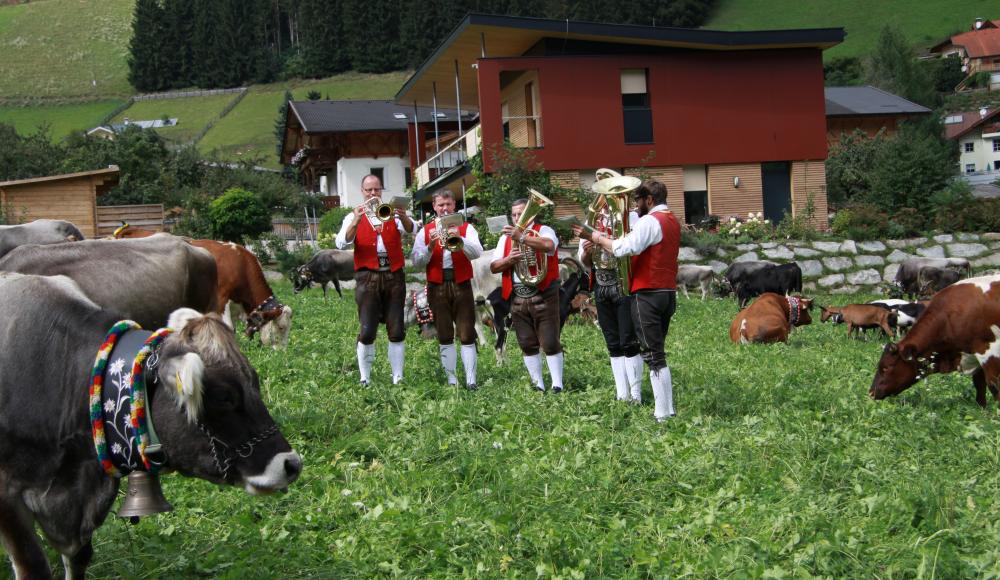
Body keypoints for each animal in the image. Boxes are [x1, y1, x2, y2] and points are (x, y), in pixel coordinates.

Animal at [0, 274, 300, 580]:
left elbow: (80, 557)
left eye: (254, 381)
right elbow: (33, 566)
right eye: (223, 396)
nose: (291, 464)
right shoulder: (8, 497)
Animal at [872, 276, 1000, 408]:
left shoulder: (988, 351)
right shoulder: (973, 355)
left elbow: (993, 386)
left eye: (886, 368)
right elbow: (979, 385)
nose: (871, 392)